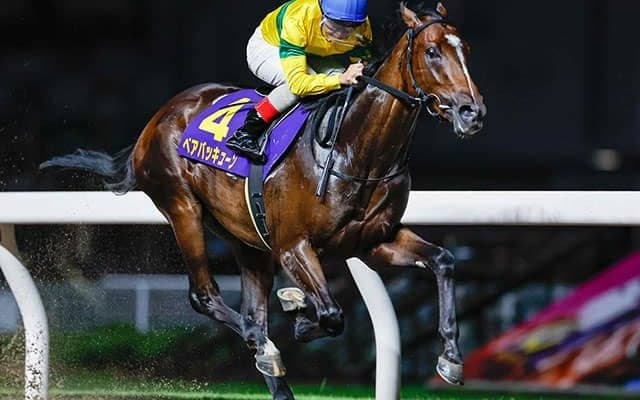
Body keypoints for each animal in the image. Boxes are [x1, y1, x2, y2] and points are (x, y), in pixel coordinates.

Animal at [42, 2, 485, 399]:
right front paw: (301, 314)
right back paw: (268, 344)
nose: (472, 112)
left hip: (246, 237)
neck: (353, 150)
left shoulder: (373, 241)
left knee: (253, 310)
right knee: (209, 298)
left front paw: (450, 358)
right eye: (432, 51)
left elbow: (444, 261)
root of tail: (158, 119)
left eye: (466, 48)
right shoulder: (293, 245)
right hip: (183, 209)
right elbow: (331, 314)